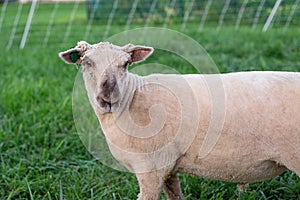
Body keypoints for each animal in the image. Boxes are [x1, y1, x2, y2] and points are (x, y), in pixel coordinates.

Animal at [58, 41, 300, 200]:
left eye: (125, 64)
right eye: (87, 63)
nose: (107, 97)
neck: (132, 97)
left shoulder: (150, 168)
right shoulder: (168, 167)